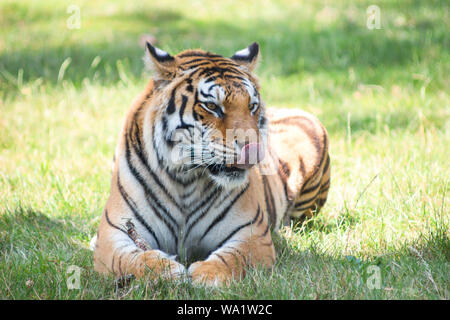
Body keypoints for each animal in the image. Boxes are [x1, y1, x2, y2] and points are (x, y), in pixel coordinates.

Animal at [92, 42, 330, 284]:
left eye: (252, 106)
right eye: (212, 106)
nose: (253, 150)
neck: (185, 179)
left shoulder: (252, 232)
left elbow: (234, 258)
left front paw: (205, 274)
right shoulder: (114, 233)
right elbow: (131, 259)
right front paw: (165, 270)